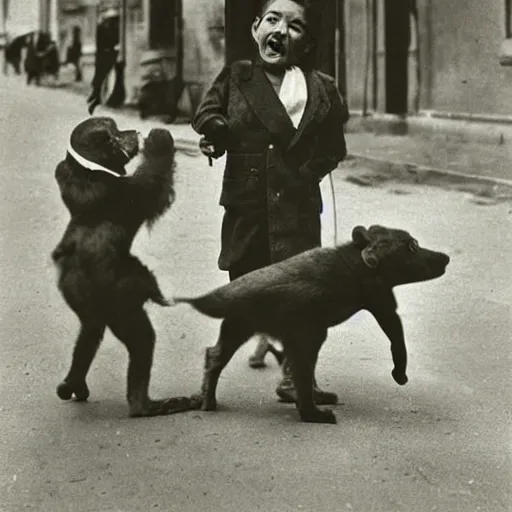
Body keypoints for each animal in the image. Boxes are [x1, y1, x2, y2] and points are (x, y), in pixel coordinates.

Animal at [52, 116, 196, 416]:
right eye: (114, 133)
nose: (134, 131)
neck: (90, 172)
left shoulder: (67, 173)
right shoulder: (131, 190)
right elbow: (154, 182)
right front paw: (160, 139)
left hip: (80, 298)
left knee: (90, 330)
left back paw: (72, 384)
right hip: (122, 306)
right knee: (142, 340)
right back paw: (146, 405)